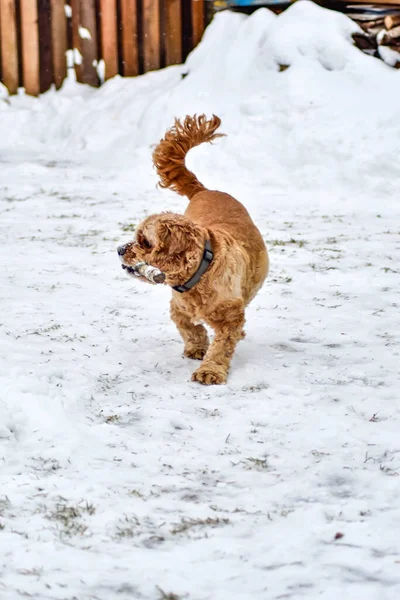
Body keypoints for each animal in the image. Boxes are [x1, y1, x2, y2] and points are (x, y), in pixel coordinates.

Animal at [119, 113, 268, 384]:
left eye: (144, 241)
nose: (119, 249)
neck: (201, 272)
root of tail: (206, 190)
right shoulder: (178, 307)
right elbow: (190, 328)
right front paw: (197, 348)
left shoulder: (231, 316)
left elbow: (222, 345)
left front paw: (210, 371)